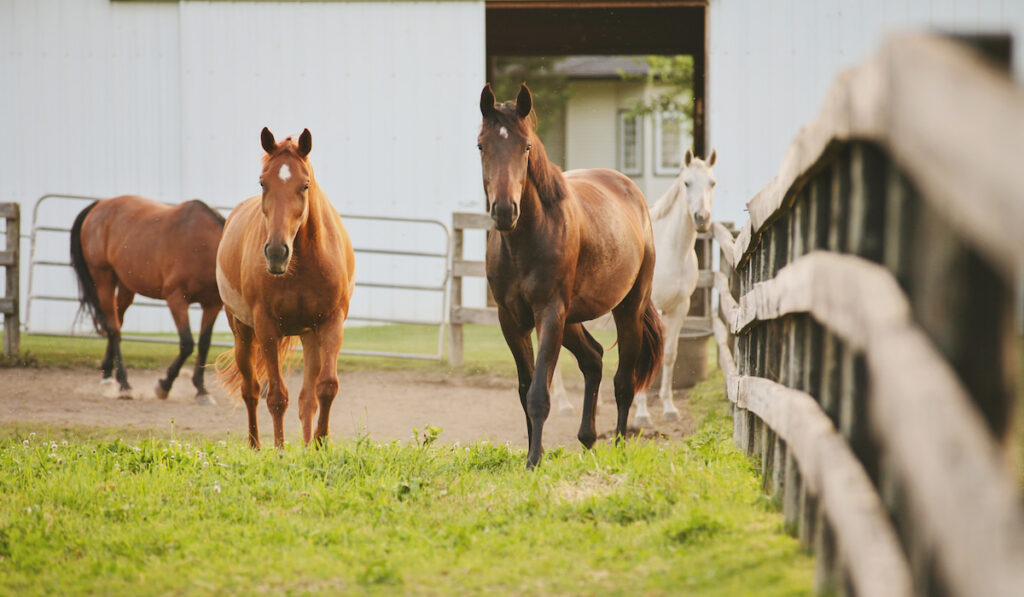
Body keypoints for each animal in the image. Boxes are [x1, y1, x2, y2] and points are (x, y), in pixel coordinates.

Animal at [70, 198, 226, 403]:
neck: (204, 246)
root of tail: (100, 205)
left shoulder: (212, 304)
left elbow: (204, 344)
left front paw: (201, 390)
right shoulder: (176, 298)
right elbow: (187, 343)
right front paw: (164, 385)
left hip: (126, 286)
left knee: (117, 322)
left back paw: (107, 378)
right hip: (103, 279)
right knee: (114, 329)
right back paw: (124, 384)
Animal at [218, 128, 358, 450]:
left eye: (304, 185)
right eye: (263, 182)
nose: (276, 252)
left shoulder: (331, 323)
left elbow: (326, 387)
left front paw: (319, 445)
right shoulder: (267, 327)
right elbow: (276, 397)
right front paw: (280, 451)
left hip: (309, 336)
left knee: (307, 398)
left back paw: (306, 445)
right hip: (243, 333)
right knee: (251, 390)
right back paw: (256, 447)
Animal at [479, 83, 663, 468]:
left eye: (526, 146)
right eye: (481, 145)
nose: (504, 211)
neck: (526, 239)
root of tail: (631, 191)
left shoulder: (549, 313)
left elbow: (538, 394)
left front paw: (534, 461)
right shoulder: (511, 320)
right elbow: (524, 389)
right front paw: (533, 455)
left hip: (627, 309)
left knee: (623, 382)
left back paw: (619, 447)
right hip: (572, 319)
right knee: (593, 359)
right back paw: (587, 438)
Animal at [557, 147, 716, 425]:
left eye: (712, 183)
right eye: (686, 183)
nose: (702, 218)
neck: (672, 248)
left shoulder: (680, 308)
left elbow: (669, 355)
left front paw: (669, 408)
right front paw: (642, 414)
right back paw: (564, 405)